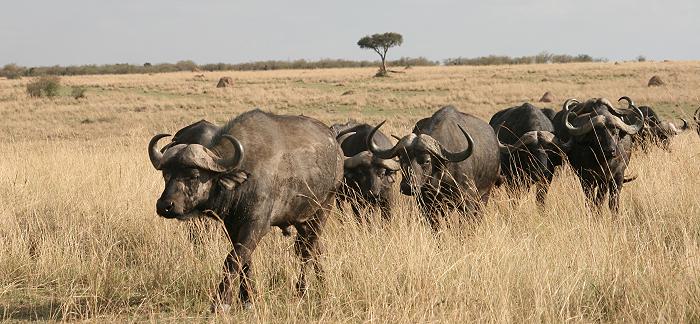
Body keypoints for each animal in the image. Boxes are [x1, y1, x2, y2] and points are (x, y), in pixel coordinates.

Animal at [149, 110, 344, 310]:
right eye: (166, 174)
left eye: (194, 175)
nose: (165, 206)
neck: (246, 176)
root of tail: (336, 150)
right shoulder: (233, 226)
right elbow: (245, 261)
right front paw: (247, 299)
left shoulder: (256, 225)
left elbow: (233, 259)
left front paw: (221, 302)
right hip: (301, 219)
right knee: (315, 248)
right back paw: (323, 283)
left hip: (324, 208)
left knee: (308, 250)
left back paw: (302, 290)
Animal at [370, 106, 500, 230]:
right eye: (402, 158)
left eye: (427, 161)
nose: (408, 187)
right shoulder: (426, 205)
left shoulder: (467, 201)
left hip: (484, 195)